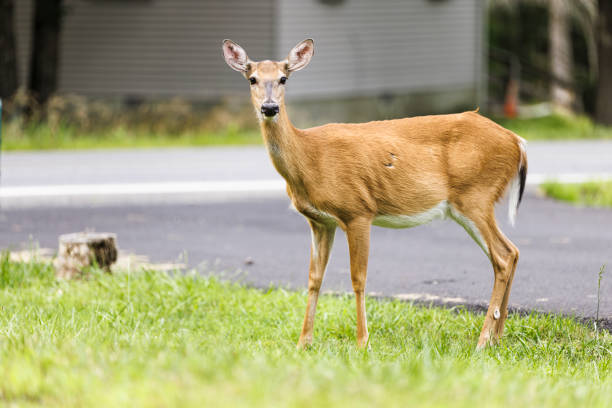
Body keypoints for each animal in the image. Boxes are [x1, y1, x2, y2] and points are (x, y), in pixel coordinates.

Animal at [222, 39, 528, 350]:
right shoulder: (320, 221)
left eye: (284, 78)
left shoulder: (357, 210)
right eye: (252, 79)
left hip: (475, 195)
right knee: (511, 253)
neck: (309, 158)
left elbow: (358, 278)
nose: (269, 107)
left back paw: (482, 341)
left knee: (503, 256)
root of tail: (517, 141)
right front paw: (303, 343)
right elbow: (314, 278)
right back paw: (497, 337)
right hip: (472, 202)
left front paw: (362, 342)